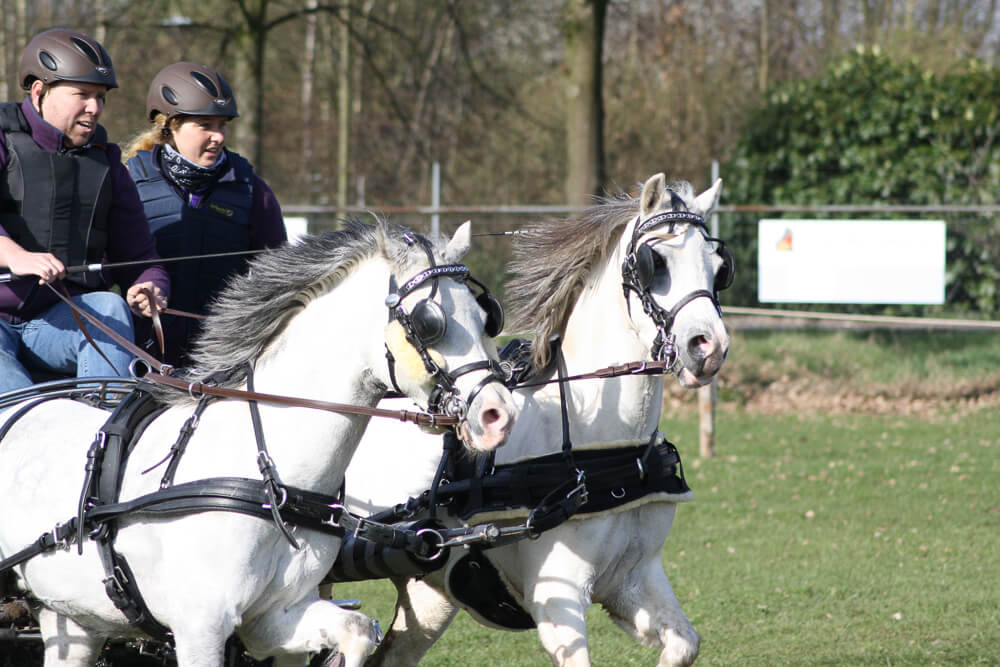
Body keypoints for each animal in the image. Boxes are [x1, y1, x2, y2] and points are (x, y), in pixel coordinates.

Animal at [0, 220, 516, 667]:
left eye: (485, 318)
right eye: (428, 322)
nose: (498, 414)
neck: (269, 480)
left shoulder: (274, 618)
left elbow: (355, 631)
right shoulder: (199, 627)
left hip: (73, 618)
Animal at [348, 174, 732, 667]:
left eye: (718, 267)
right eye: (656, 263)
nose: (709, 347)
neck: (599, 450)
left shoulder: (634, 578)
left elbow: (684, 643)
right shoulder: (559, 599)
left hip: (429, 593)